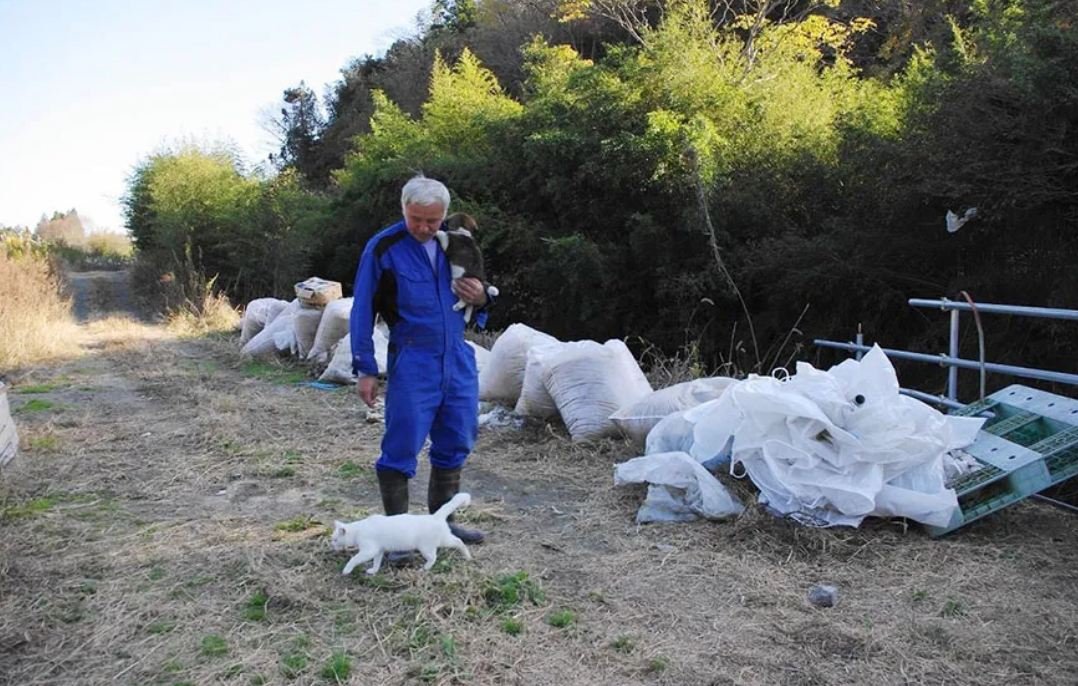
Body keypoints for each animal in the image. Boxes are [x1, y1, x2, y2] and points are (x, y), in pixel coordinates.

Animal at [329, 494, 474, 573]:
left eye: (335, 539)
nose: (332, 545)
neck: (359, 529)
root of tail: (435, 516)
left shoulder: (369, 550)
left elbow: (354, 559)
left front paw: (346, 570)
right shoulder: (378, 550)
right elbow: (376, 562)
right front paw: (373, 571)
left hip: (427, 547)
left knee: (434, 557)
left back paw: (425, 568)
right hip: (444, 539)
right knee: (459, 541)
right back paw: (467, 556)